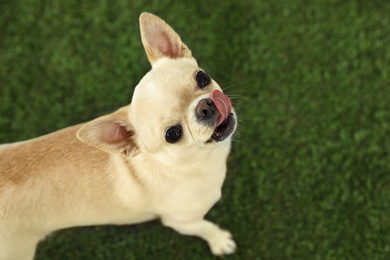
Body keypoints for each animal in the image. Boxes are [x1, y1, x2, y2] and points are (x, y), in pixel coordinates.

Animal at [0, 12, 238, 260]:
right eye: (173, 134)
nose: (205, 107)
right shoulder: (183, 222)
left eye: (202, 78)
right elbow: (205, 227)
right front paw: (219, 240)